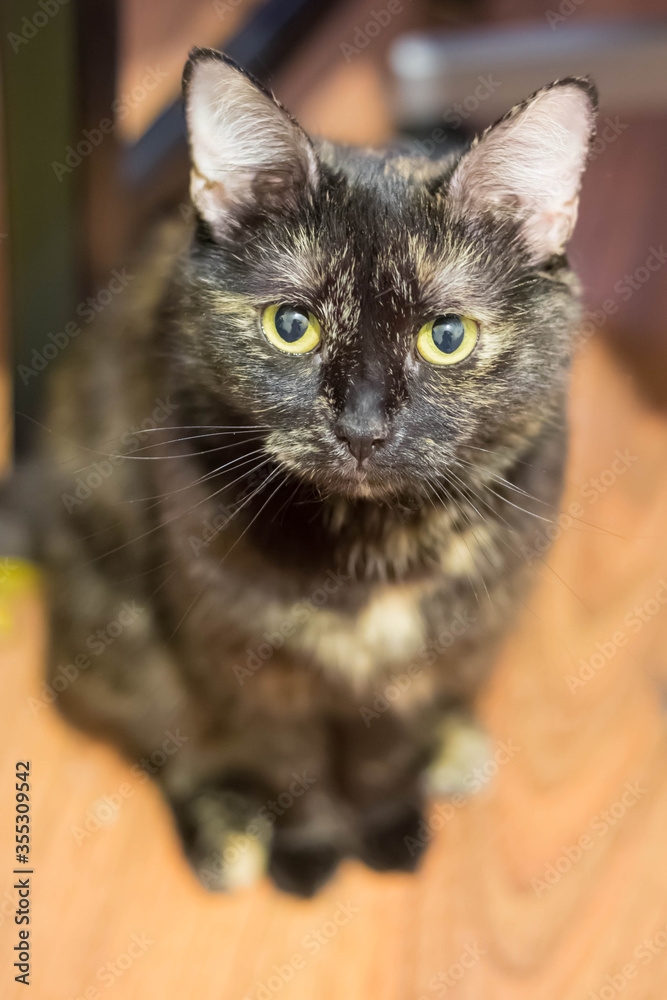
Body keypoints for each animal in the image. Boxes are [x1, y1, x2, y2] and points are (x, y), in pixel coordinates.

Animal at [34, 48, 596, 900]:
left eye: (446, 337)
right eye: (292, 326)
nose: (362, 428)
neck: (370, 550)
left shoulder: (426, 653)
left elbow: (385, 754)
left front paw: (388, 829)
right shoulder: (243, 655)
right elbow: (285, 765)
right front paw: (307, 853)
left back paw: (455, 745)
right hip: (115, 637)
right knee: (169, 747)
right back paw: (224, 838)